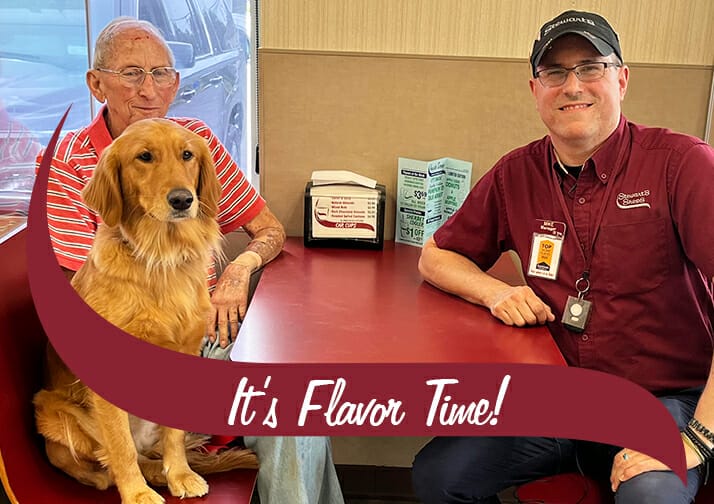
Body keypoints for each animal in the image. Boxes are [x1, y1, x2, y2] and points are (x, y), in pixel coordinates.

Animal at [33, 119, 258, 504]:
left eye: (187, 155)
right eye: (144, 157)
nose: (183, 199)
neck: (160, 254)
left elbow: (175, 436)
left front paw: (180, 474)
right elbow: (120, 448)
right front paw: (137, 493)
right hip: (52, 413)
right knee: (109, 462)